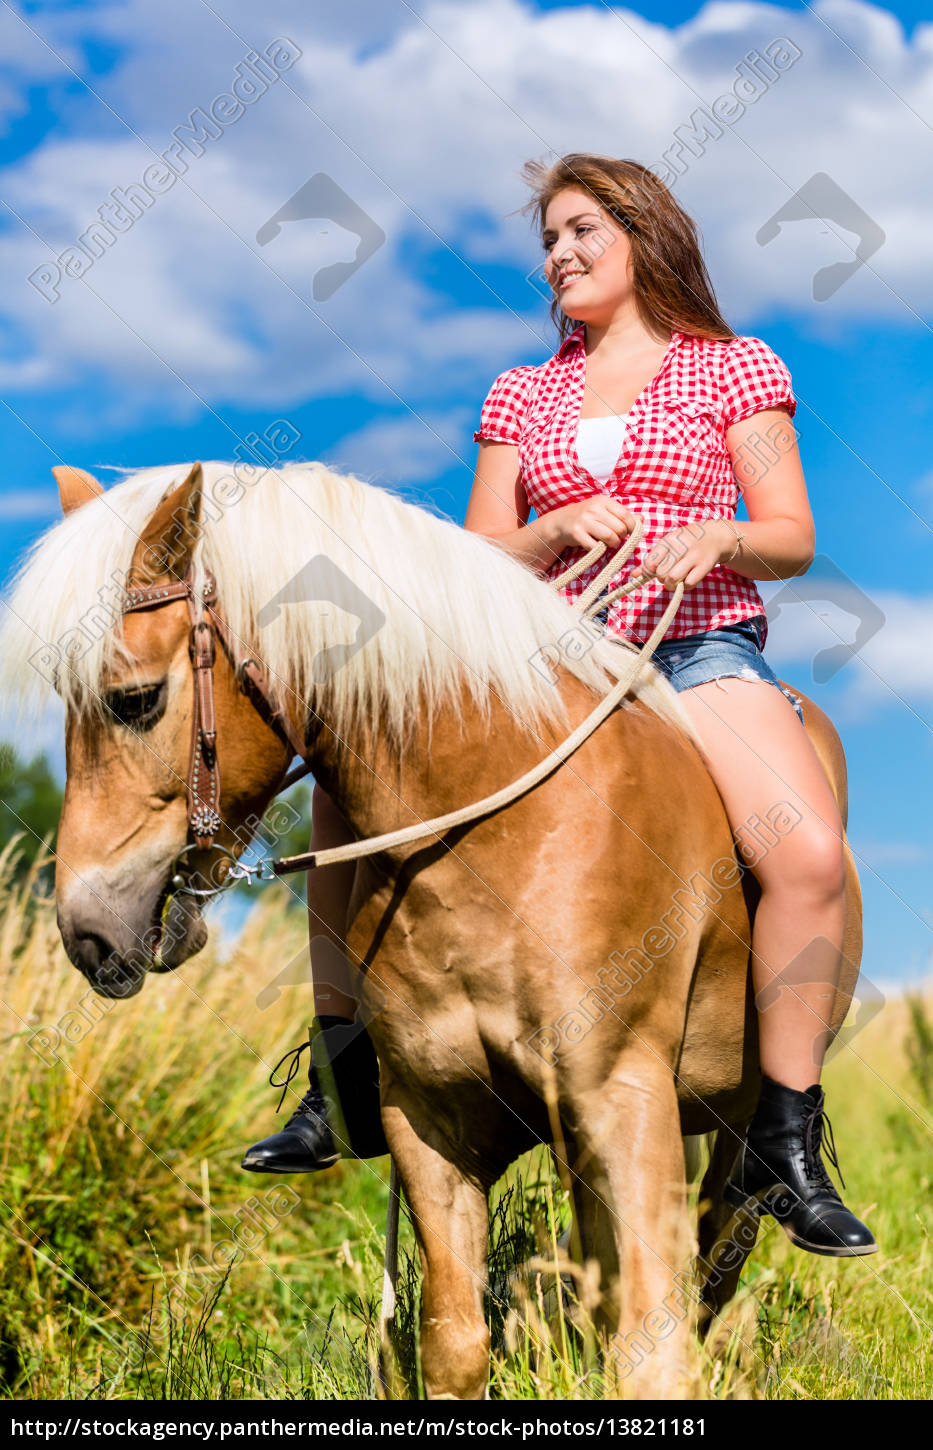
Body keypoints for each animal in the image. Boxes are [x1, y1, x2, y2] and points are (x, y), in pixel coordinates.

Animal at [0, 458, 864, 1397]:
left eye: (135, 700)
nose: (87, 932)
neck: (501, 832)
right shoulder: (430, 1119)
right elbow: (455, 1345)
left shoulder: (624, 1101)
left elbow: (653, 1349)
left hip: (730, 1140)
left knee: (714, 1261)